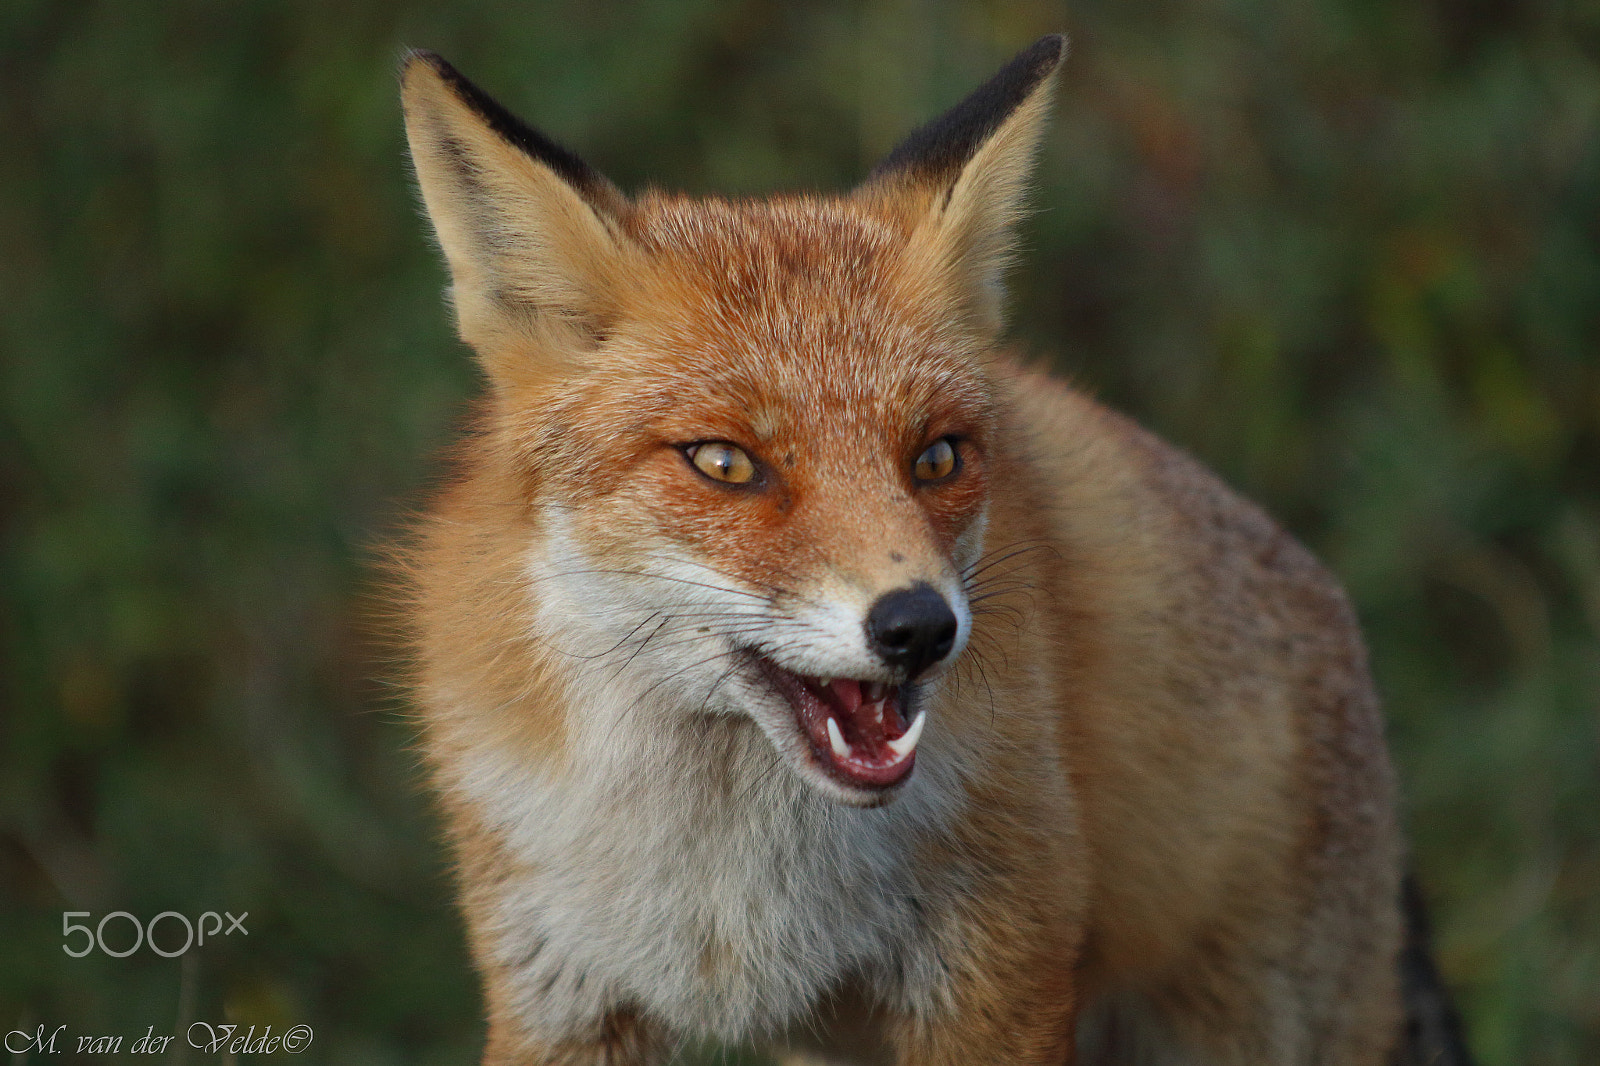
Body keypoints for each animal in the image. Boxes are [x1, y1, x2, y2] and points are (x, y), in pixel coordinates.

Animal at [395, 35, 1472, 1066]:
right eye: (724, 462)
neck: (730, 883)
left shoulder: (996, 973)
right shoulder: (557, 987)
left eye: (938, 455)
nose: (919, 627)